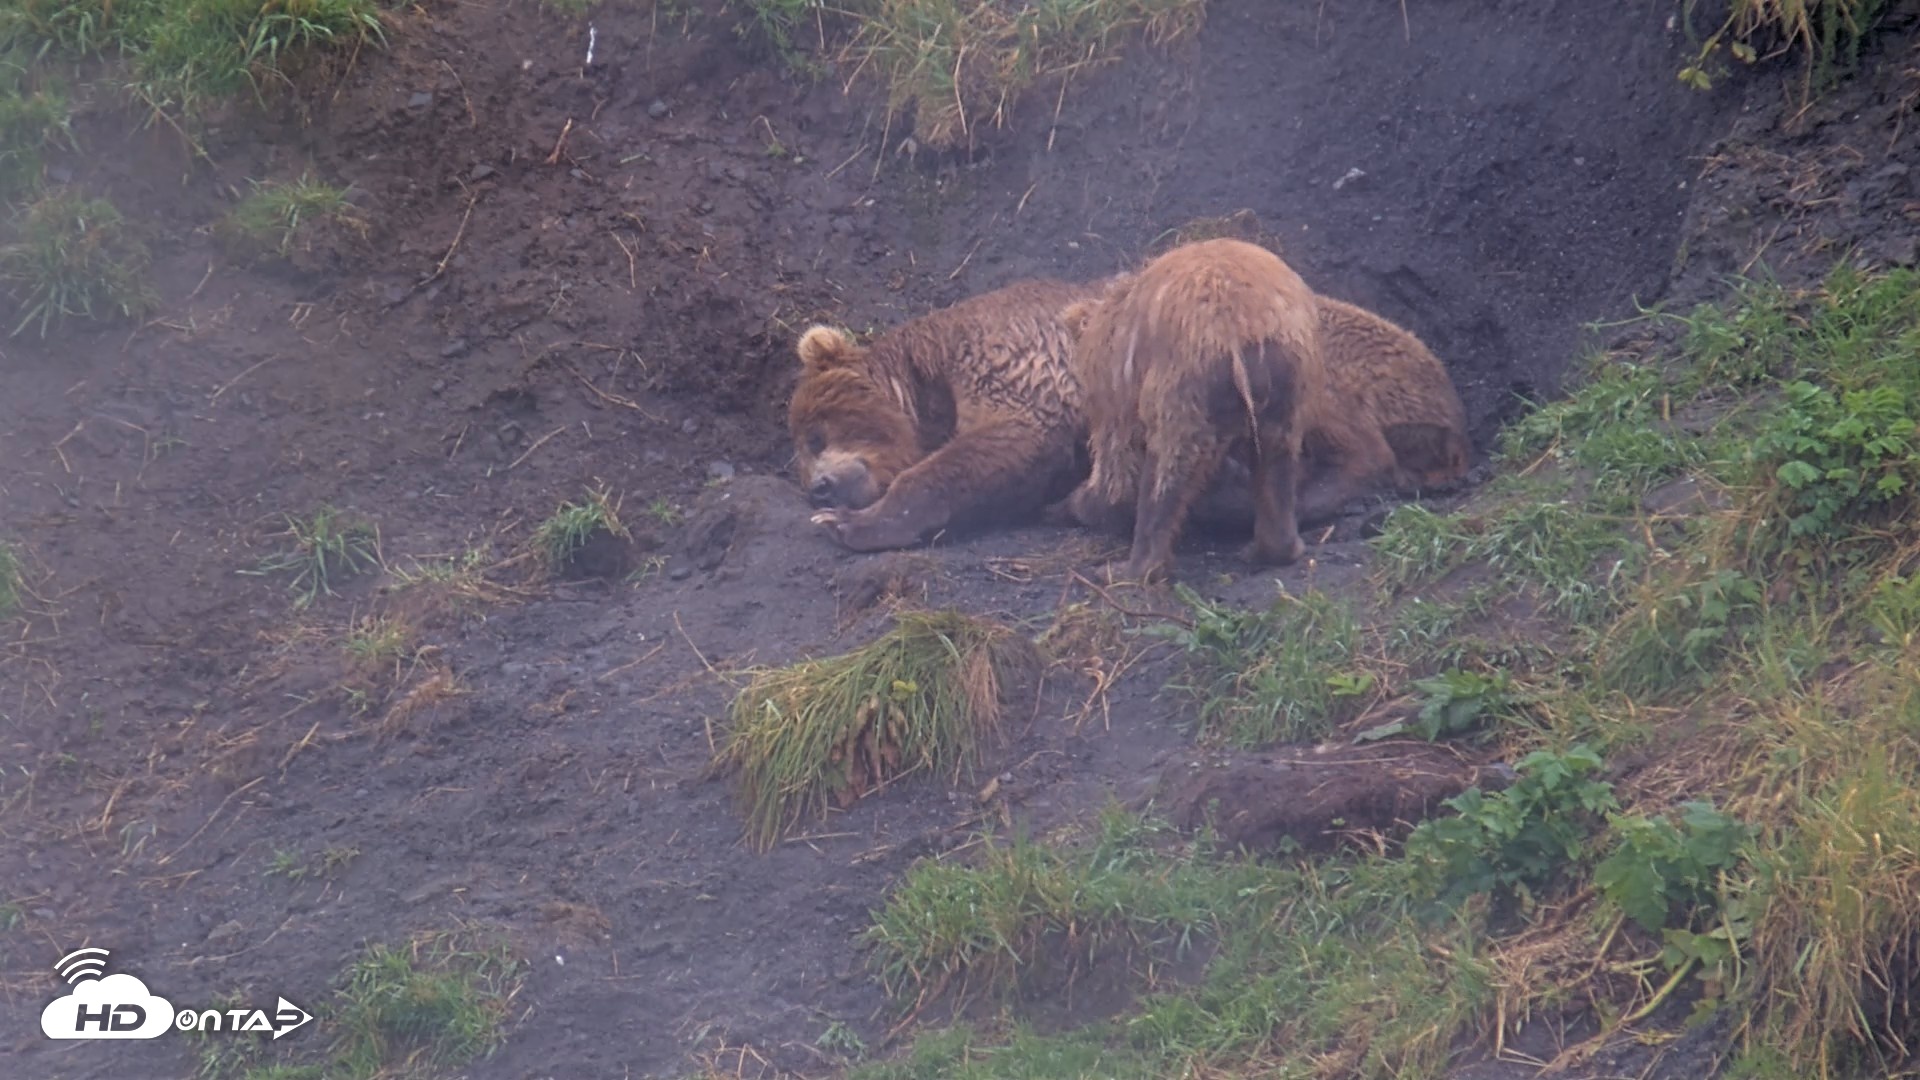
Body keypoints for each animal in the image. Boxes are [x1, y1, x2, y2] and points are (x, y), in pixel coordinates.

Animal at [789, 278, 1102, 552]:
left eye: (814, 438)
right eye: (803, 471)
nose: (818, 489)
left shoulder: (1013, 356)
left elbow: (1013, 435)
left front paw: (843, 521)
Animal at [1061, 237, 1338, 584]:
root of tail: (1237, 329)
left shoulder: (1117, 385)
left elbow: (1117, 461)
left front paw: (1079, 502)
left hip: (1185, 380)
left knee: (1166, 464)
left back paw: (1134, 566)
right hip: (1285, 374)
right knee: (1276, 457)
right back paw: (1274, 547)